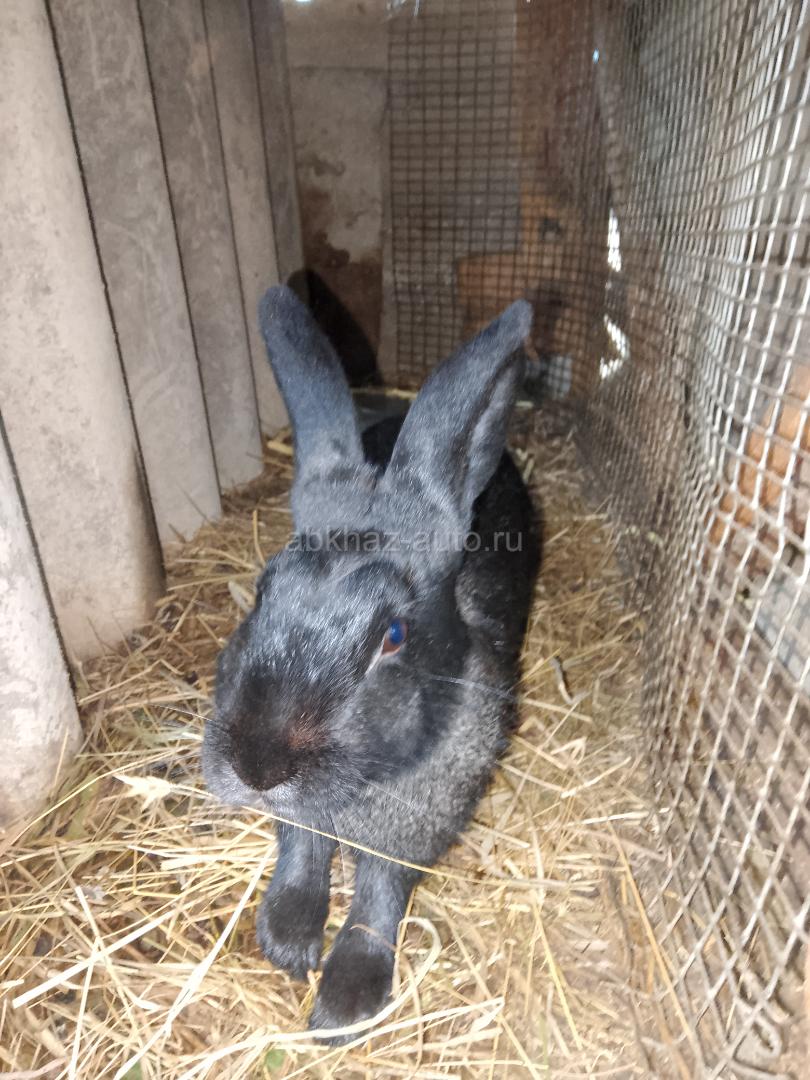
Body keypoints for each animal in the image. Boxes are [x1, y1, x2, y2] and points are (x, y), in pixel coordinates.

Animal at [202, 285, 539, 1042]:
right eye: (263, 593)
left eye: (392, 635)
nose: (257, 766)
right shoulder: (304, 824)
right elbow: (302, 852)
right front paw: (287, 938)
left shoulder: (408, 836)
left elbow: (379, 897)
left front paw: (344, 1003)